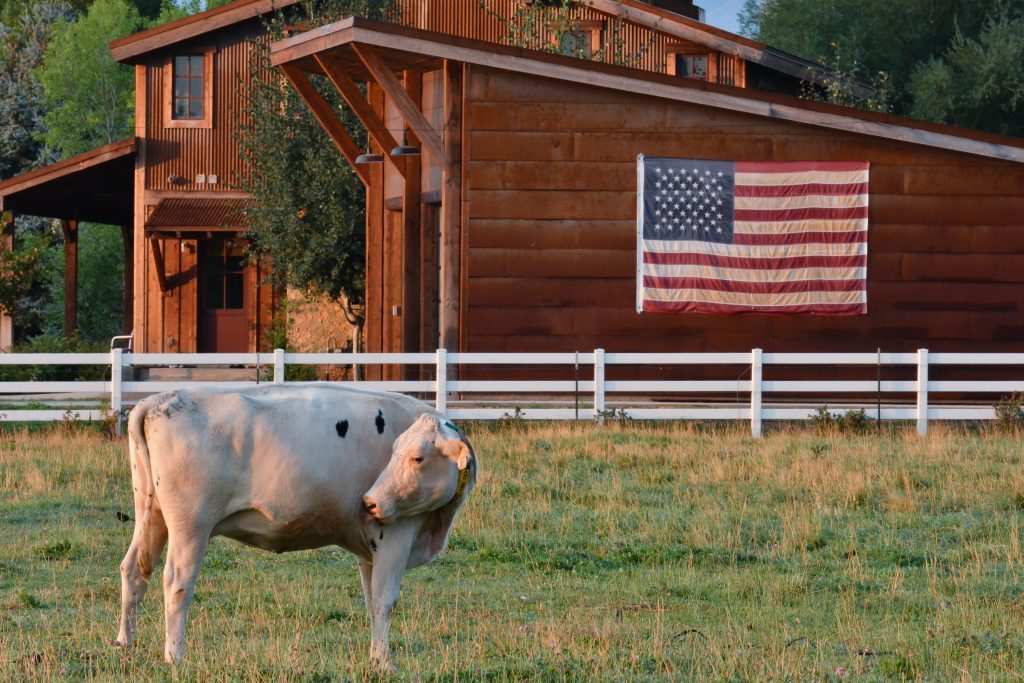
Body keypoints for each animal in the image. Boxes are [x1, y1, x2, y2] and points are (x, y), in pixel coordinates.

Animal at [114, 385, 477, 667]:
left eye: (415, 457)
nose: (370, 502)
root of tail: (161, 399)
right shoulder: (395, 535)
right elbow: (385, 601)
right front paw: (385, 663)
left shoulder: (369, 549)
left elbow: (371, 601)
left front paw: (376, 657)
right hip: (191, 524)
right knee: (177, 583)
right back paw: (175, 655)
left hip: (151, 512)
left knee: (134, 570)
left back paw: (124, 643)